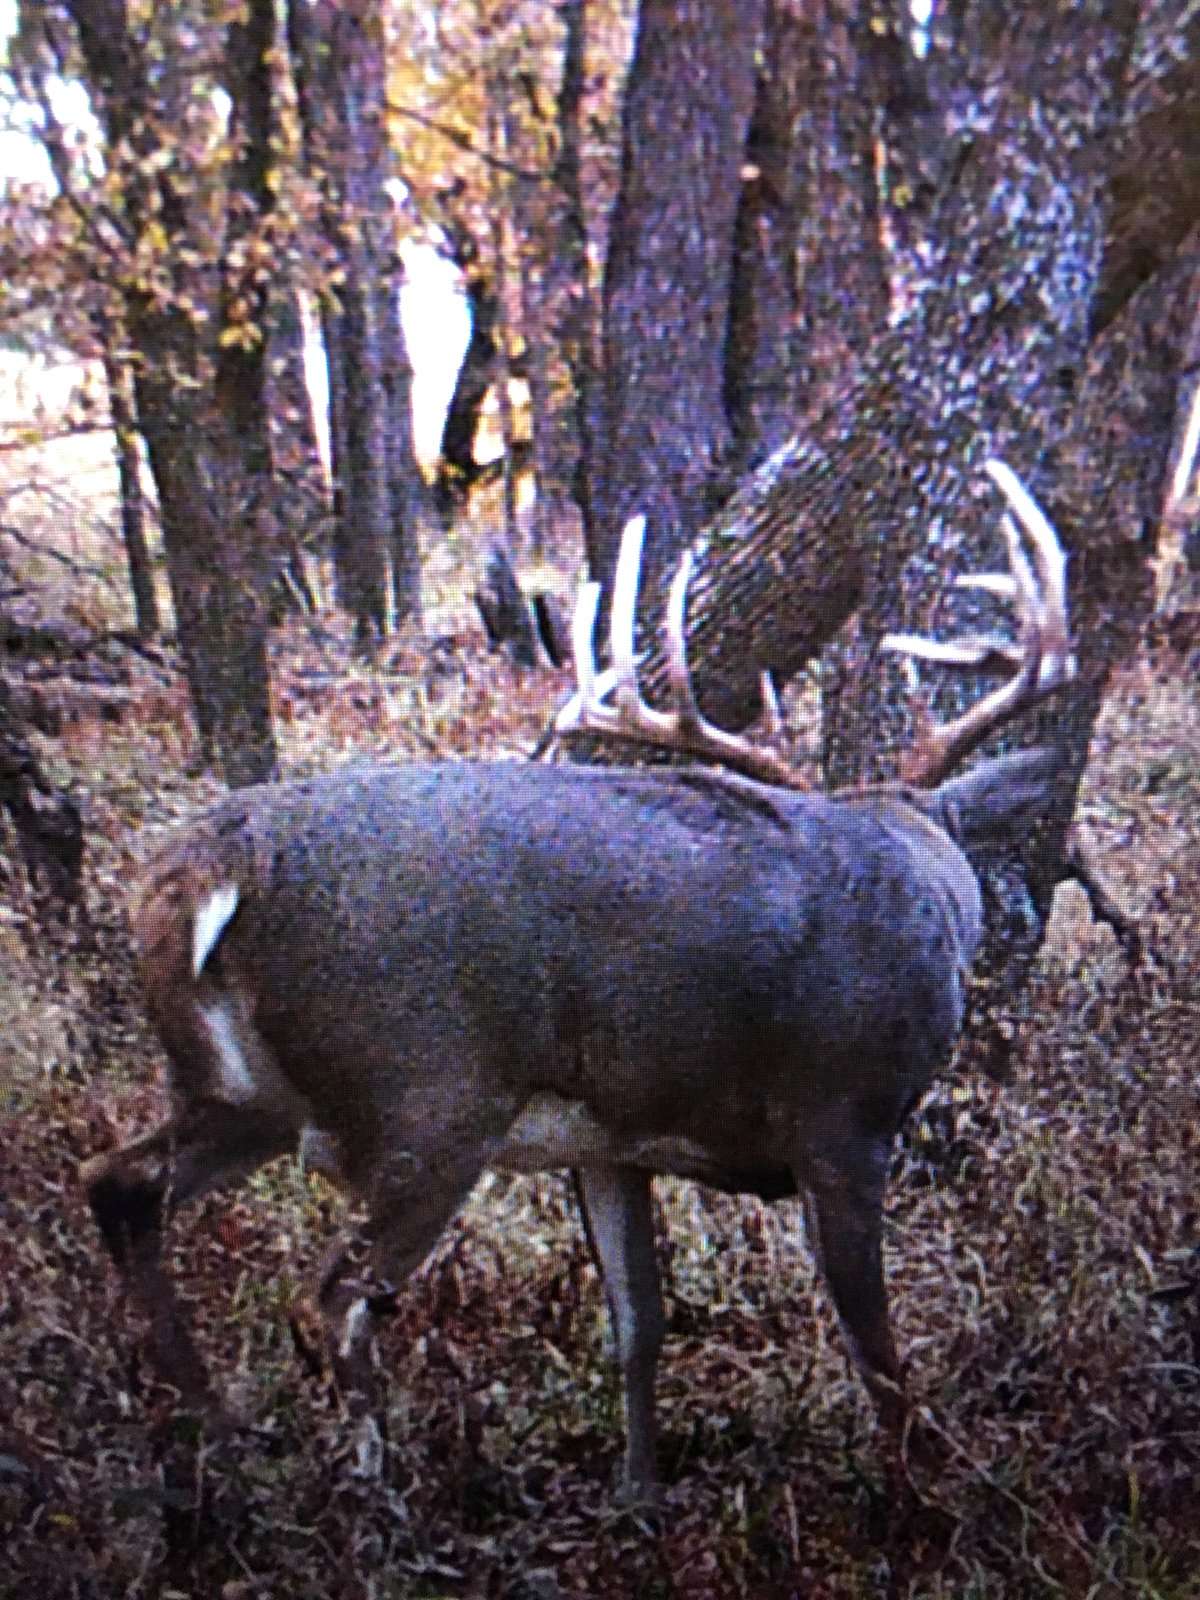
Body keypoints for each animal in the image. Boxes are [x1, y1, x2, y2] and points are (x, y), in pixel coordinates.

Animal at [84, 457, 1081, 1491]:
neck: (927, 875)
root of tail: (212, 865)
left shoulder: (609, 1142)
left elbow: (639, 1321)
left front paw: (640, 1489)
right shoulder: (844, 1119)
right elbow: (876, 1352)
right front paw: (917, 1491)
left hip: (248, 1095)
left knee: (119, 1181)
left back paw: (212, 1431)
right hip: (427, 1095)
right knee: (332, 1295)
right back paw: (367, 1486)